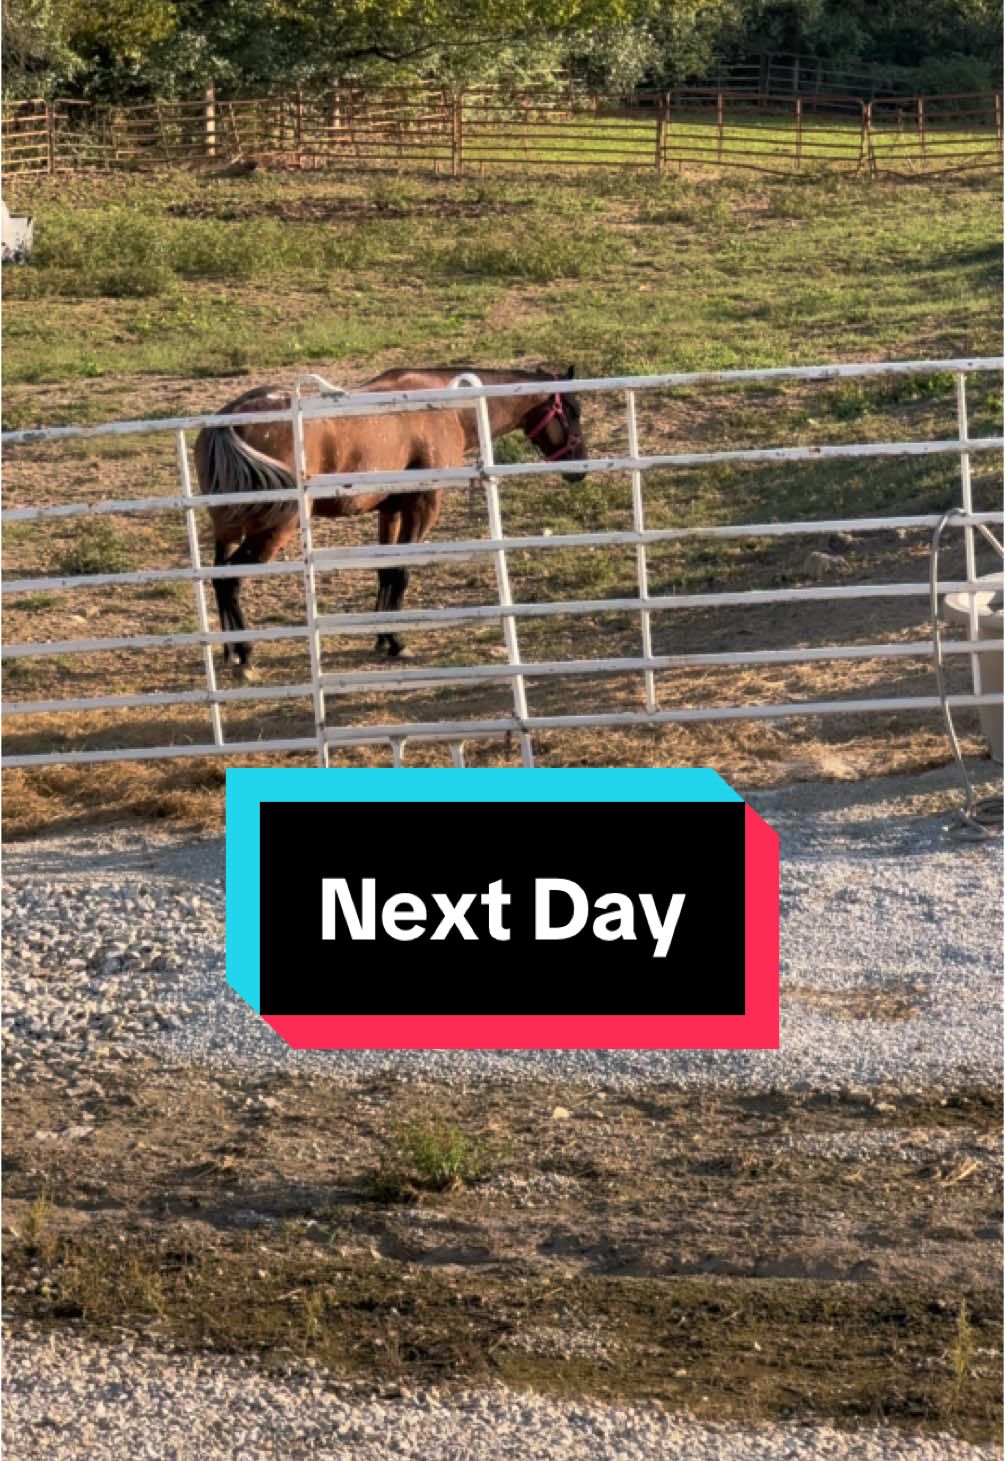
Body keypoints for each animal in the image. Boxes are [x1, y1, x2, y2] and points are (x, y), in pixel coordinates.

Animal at [195, 365, 584, 669]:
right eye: (573, 411)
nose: (579, 465)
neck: (446, 407)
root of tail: (231, 419)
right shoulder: (423, 508)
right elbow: (401, 573)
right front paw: (396, 641)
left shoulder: (391, 511)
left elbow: (385, 572)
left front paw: (383, 636)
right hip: (274, 530)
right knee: (231, 580)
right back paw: (244, 653)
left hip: (227, 527)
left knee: (218, 576)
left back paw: (229, 652)